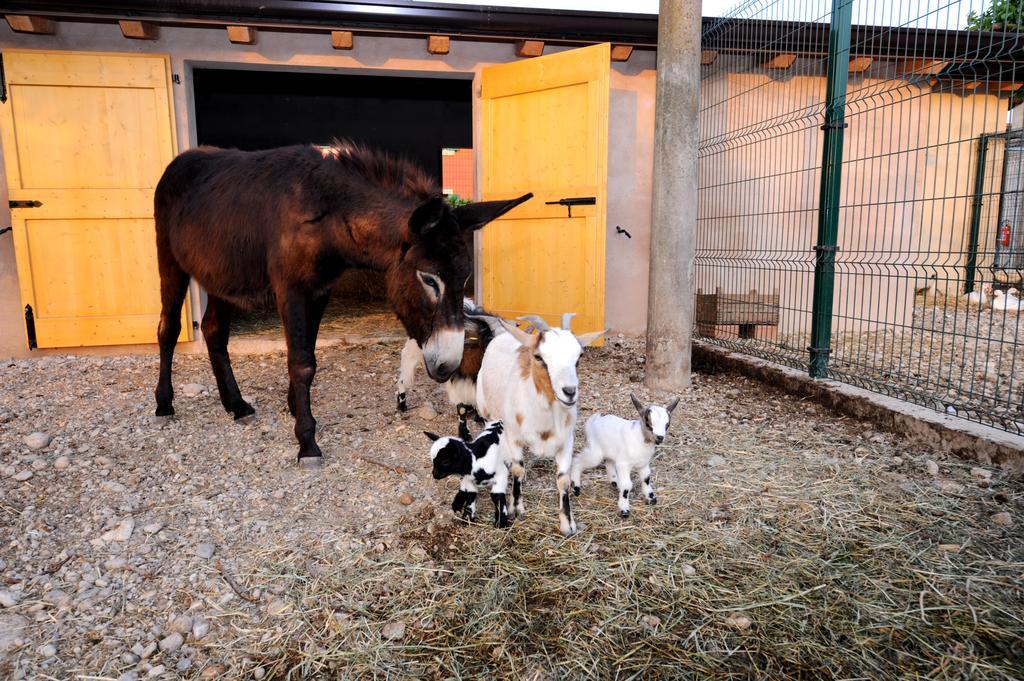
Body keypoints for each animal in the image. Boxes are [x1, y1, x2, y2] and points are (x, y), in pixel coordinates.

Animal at [475, 315, 602, 536]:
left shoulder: (566, 441)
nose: (569, 392)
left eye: (579, 357)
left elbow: (563, 479)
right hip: (487, 412)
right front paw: (517, 508)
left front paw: (567, 524)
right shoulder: (513, 436)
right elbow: (518, 469)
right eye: (539, 357)